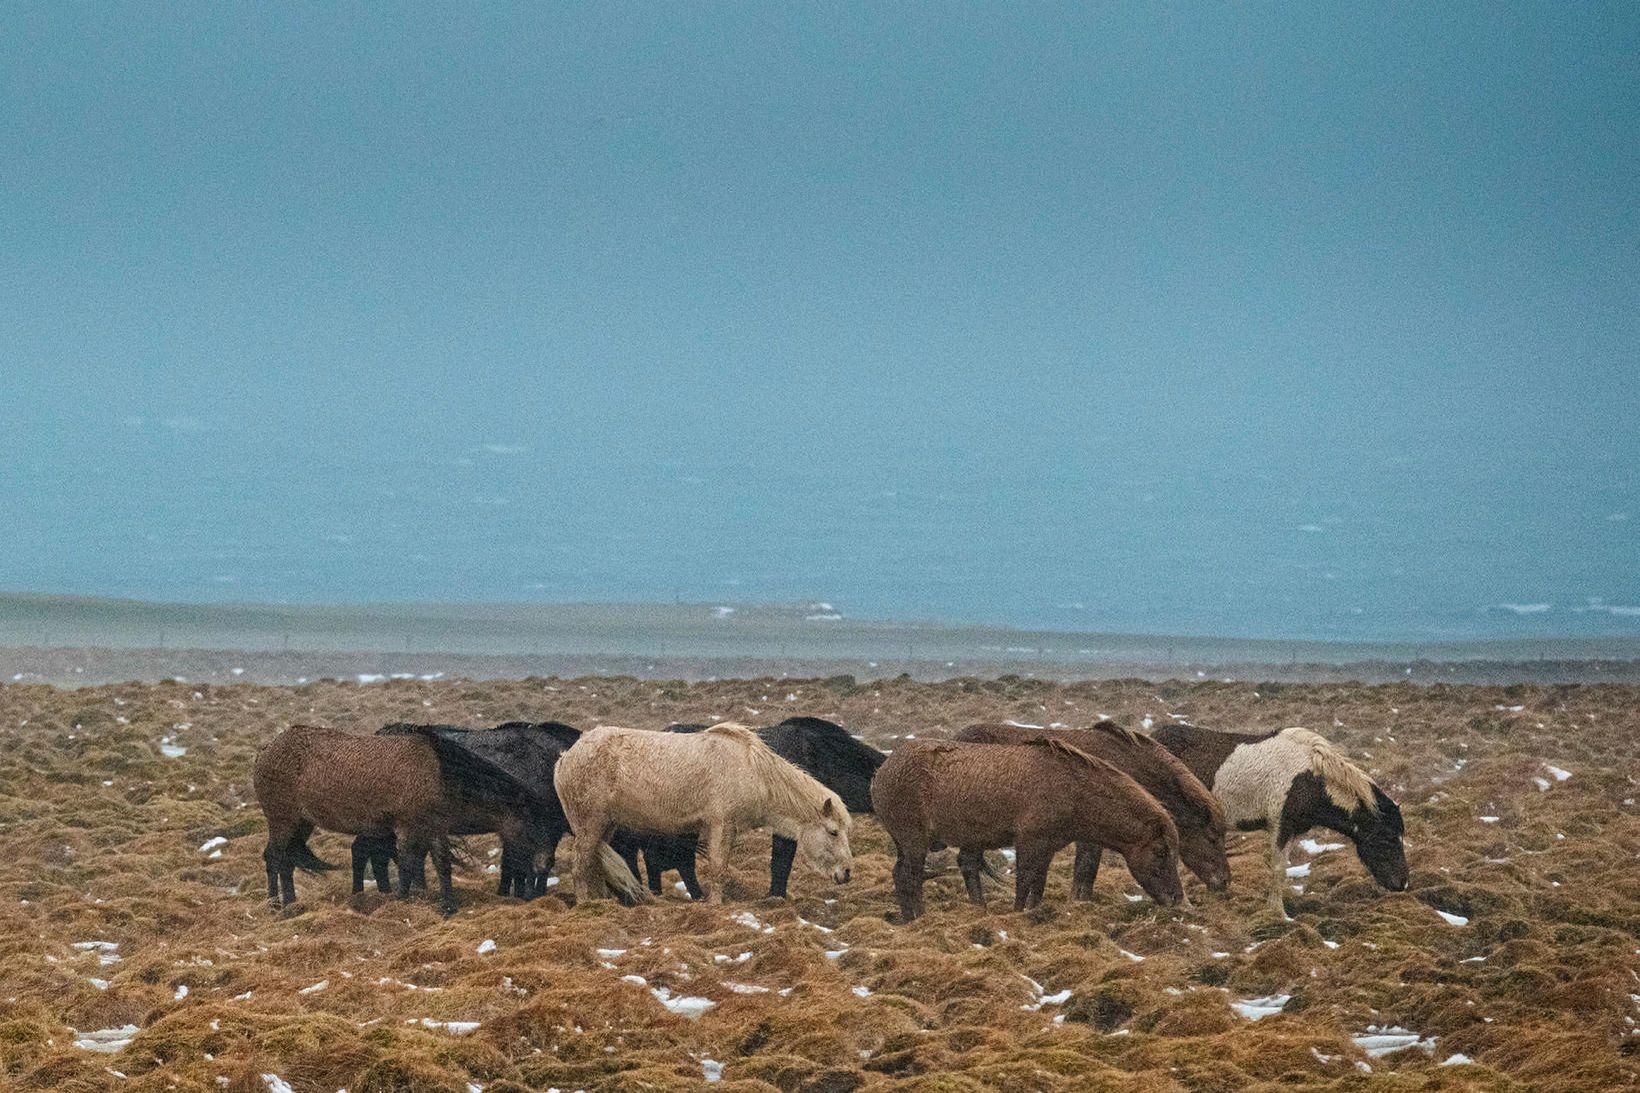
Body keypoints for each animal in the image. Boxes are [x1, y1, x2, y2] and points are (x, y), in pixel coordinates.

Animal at [252, 722, 642, 912]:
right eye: (534, 821)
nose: (544, 857)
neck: (440, 773)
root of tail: (267, 749)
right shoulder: (409, 827)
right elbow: (409, 864)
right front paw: (404, 901)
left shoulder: (435, 827)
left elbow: (440, 864)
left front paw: (448, 905)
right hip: (283, 819)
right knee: (275, 858)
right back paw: (278, 904)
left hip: (301, 822)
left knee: (287, 858)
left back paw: (290, 901)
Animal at [554, 722, 859, 899]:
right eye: (833, 832)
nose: (846, 872)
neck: (752, 770)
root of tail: (566, 757)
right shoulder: (720, 825)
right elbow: (717, 869)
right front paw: (716, 905)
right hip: (590, 824)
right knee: (581, 866)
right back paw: (587, 905)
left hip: (605, 826)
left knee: (595, 864)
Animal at [872, 731, 1180, 919]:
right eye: (1161, 851)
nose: (1178, 901)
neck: (1073, 790)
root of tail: (882, 771)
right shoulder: (1028, 841)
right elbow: (1023, 882)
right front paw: (1019, 913)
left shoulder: (1047, 847)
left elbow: (1038, 885)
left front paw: (1033, 911)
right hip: (913, 840)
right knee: (910, 877)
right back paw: (919, 918)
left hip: (904, 843)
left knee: (900, 875)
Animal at [1154, 718, 1410, 912]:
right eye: (1387, 838)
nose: (1402, 884)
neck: (1311, 780)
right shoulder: (1281, 826)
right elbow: (1277, 868)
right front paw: (1277, 912)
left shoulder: (1294, 830)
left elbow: (1283, 869)